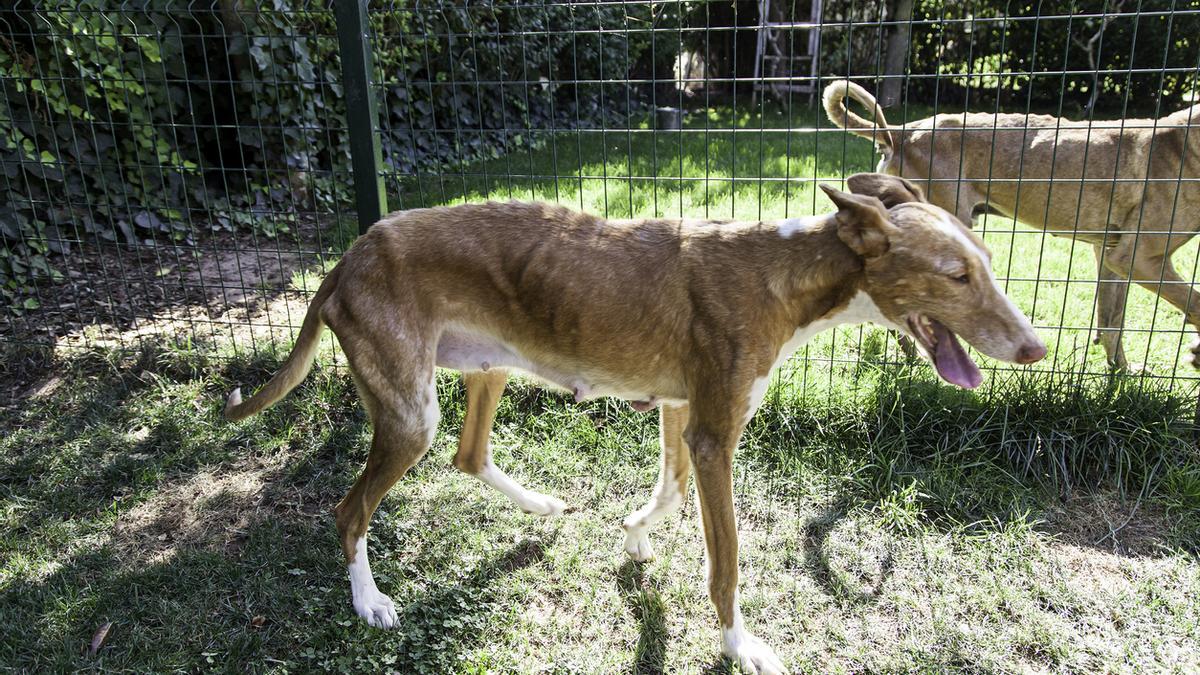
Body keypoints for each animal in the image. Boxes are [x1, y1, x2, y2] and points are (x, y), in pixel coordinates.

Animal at [223, 174, 1041, 672]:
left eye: (987, 259)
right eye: (956, 274)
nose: (1035, 348)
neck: (785, 275)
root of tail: (348, 255)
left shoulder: (681, 412)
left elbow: (669, 494)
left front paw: (634, 535)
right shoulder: (715, 435)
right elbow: (727, 561)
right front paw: (739, 645)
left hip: (485, 369)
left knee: (468, 455)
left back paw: (540, 505)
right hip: (409, 413)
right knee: (350, 509)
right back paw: (369, 600)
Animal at [820, 81, 1200, 369]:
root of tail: (901, 132)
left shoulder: (1111, 255)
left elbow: (1111, 320)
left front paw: (1121, 372)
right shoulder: (1137, 258)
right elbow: (1194, 301)